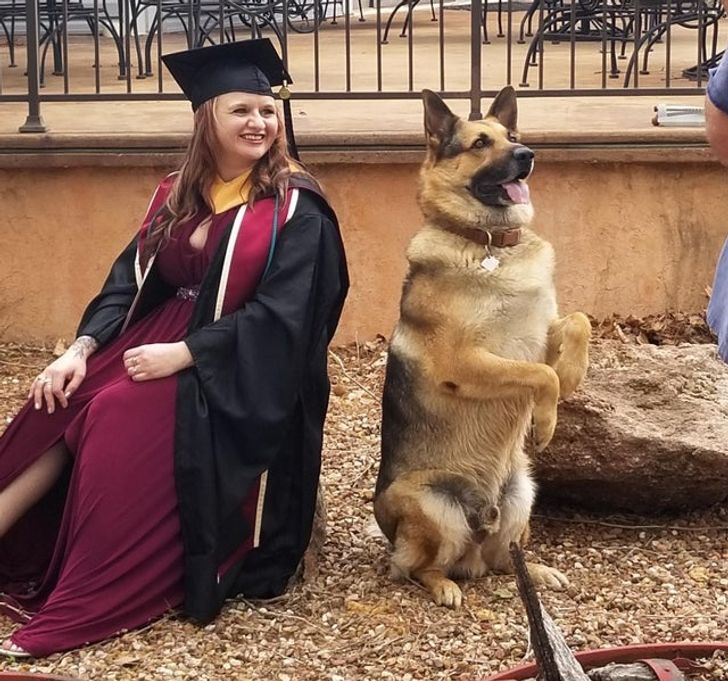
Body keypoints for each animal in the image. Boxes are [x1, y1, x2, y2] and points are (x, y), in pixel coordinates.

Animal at [376, 86, 592, 604]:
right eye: (479, 144)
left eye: (512, 136)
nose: (527, 155)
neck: (491, 242)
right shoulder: (466, 362)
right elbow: (540, 374)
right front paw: (546, 420)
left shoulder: (541, 333)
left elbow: (579, 324)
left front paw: (573, 374)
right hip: (433, 503)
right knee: (416, 568)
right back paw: (443, 587)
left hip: (522, 494)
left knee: (503, 560)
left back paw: (536, 573)